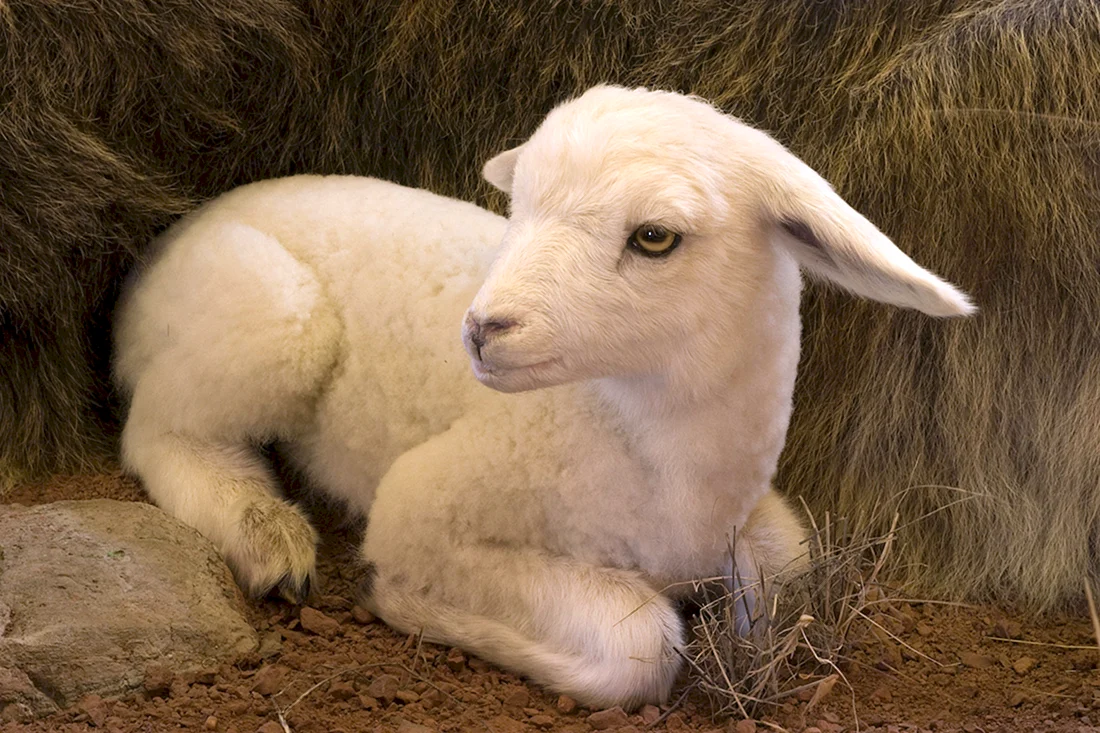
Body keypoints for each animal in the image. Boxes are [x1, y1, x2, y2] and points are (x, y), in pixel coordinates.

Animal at [113, 85, 974, 708]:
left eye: (655, 236)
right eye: (517, 205)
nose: (482, 329)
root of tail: (161, 253)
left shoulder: (750, 522)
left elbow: (790, 561)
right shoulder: (422, 504)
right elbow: (642, 640)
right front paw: (405, 600)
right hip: (272, 316)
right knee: (157, 433)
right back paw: (264, 532)